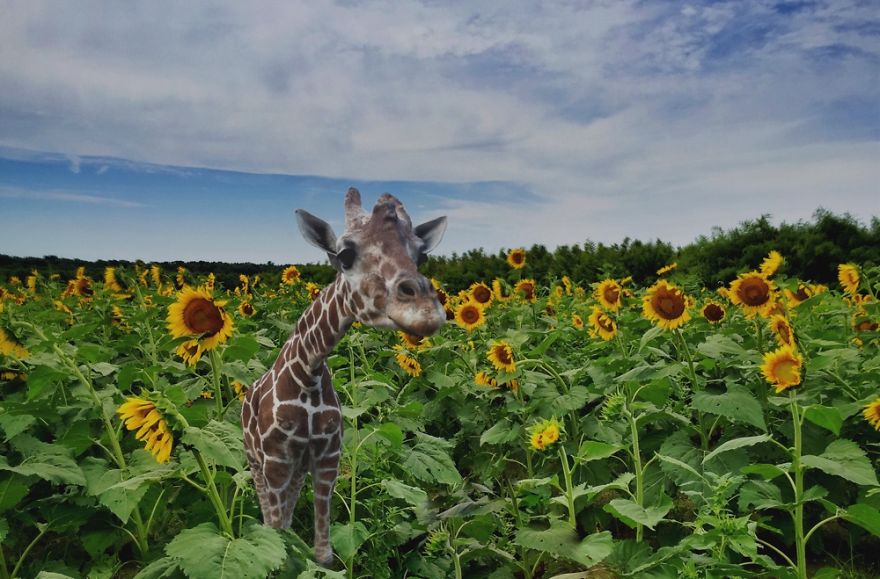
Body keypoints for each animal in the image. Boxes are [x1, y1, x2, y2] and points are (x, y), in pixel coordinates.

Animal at [241, 188, 447, 566]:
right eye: (344, 254)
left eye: (421, 255)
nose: (426, 311)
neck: (307, 374)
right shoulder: (275, 458)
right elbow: (276, 533)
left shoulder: (327, 455)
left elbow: (323, 553)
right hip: (254, 459)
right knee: (269, 515)